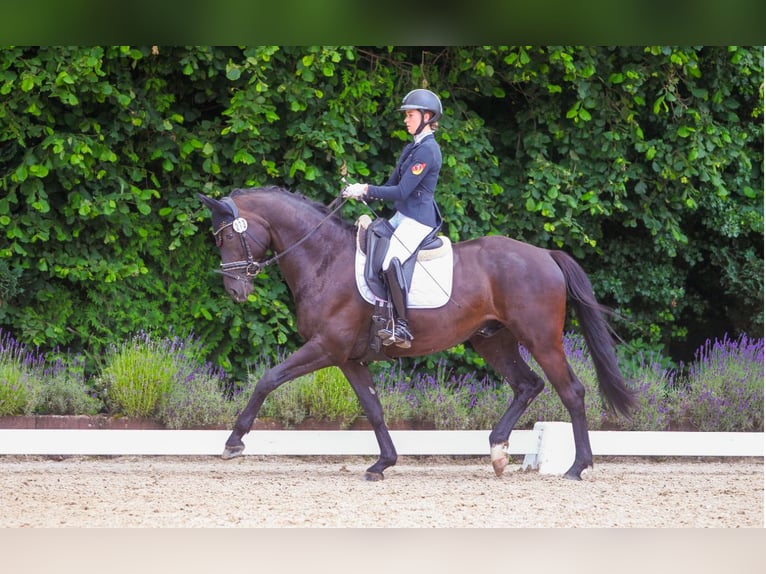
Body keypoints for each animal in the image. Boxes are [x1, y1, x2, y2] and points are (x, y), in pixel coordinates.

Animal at [198, 186, 636, 481]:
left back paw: (578, 467)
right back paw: (497, 451)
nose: (236, 292)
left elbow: (268, 379)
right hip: (492, 339)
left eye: (226, 236)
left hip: (541, 338)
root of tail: (545, 255)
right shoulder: (348, 357)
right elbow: (373, 409)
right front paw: (382, 463)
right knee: (527, 385)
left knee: (571, 391)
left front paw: (233, 442)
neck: (324, 258)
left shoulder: (326, 347)